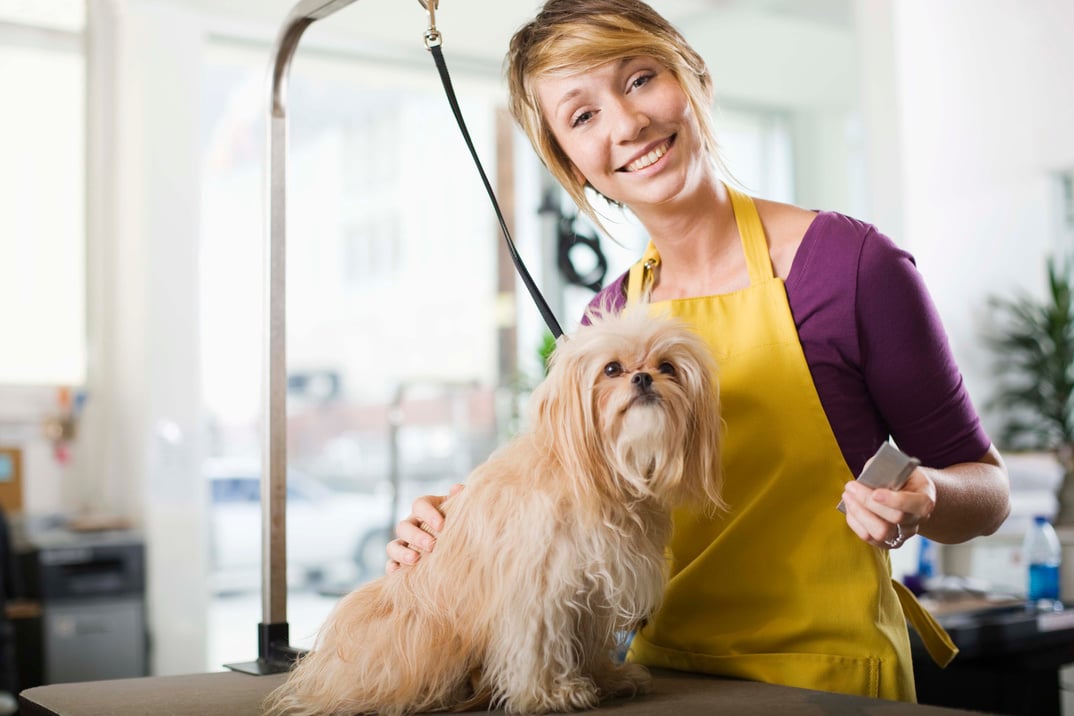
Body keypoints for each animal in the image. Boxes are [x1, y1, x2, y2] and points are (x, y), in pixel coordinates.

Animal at [264, 311, 726, 716]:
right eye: (611, 369)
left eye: (667, 366)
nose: (644, 377)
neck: (600, 475)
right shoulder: (538, 586)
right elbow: (539, 644)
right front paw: (551, 694)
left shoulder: (592, 592)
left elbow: (590, 641)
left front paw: (606, 678)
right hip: (427, 637)